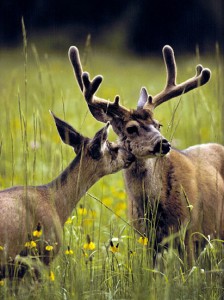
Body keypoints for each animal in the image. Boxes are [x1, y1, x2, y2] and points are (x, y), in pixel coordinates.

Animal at [68, 43, 224, 262]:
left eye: (158, 125)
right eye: (131, 128)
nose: (164, 143)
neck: (155, 209)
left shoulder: (190, 231)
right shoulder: (147, 238)